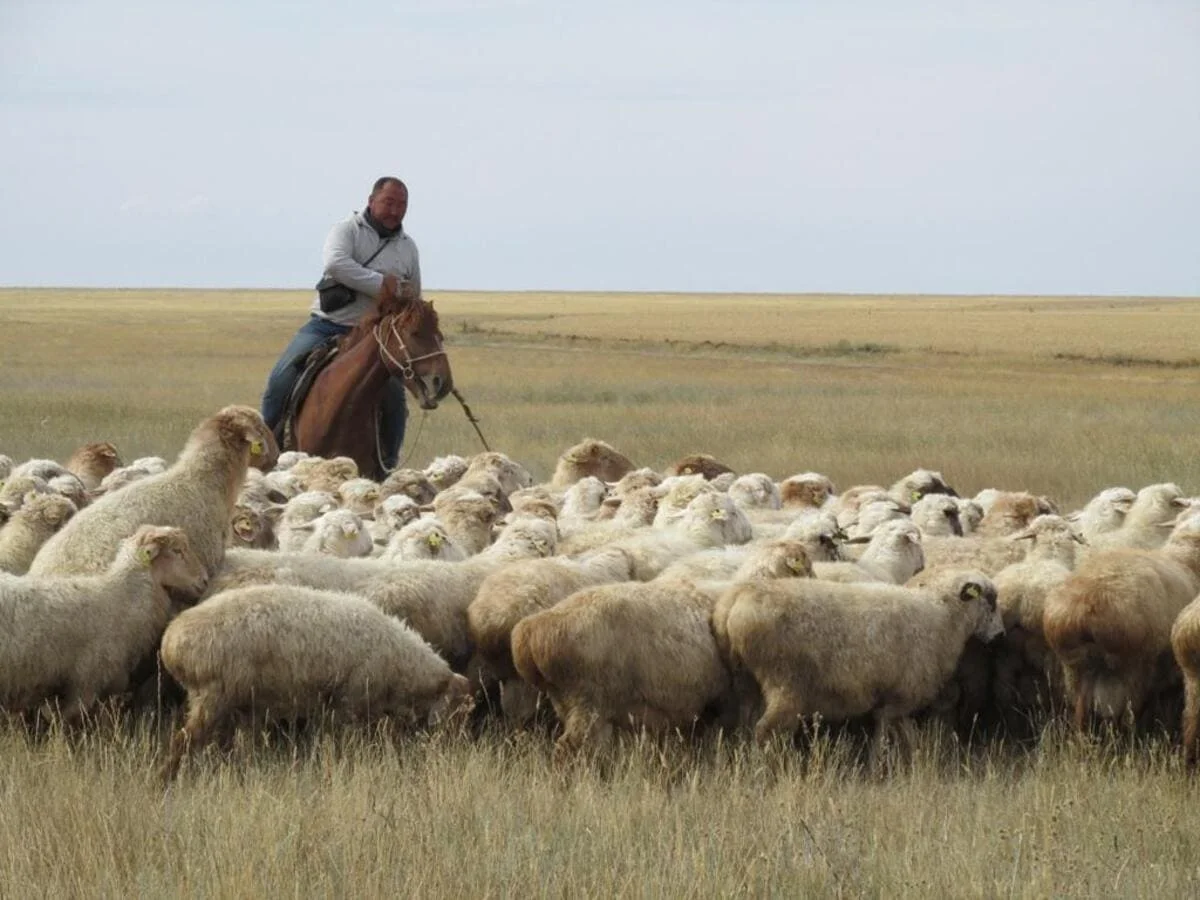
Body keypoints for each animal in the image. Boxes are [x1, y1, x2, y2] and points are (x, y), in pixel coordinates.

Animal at [720, 566, 1003, 748]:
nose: (1000, 635)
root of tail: (738, 597)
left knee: (746, 727)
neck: (943, 615)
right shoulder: (901, 698)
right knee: (765, 731)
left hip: (746, 683)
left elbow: (898, 738)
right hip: (785, 682)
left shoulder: (890, 701)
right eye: (990, 601)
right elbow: (890, 741)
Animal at [1041, 528, 1200, 734]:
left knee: (1081, 714)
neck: (1187, 560)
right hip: (1132, 670)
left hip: (1075, 671)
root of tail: (1083, 607)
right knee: (1127, 717)